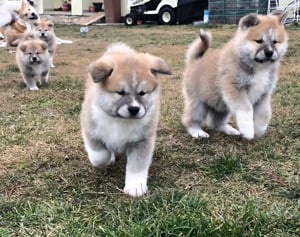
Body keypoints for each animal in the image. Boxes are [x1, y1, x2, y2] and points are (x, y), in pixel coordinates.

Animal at [80, 42, 171, 196]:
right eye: (120, 92)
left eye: (142, 93)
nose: (134, 109)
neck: (121, 121)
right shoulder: (91, 130)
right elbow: (99, 156)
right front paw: (107, 159)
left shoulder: (142, 140)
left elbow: (137, 166)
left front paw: (135, 187)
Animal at [182, 11, 290, 140]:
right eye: (259, 41)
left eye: (275, 42)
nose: (269, 52)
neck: (258, 67)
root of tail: (194, 61)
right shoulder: (235, 89)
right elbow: (246, 110)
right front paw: (248, 131)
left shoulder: (263, 95)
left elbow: (264, 114)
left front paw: (259, 131)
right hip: (198, 104)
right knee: (190, 119)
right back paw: (197, 132)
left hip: (221, 106)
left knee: (215, 123)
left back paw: (229, 130)